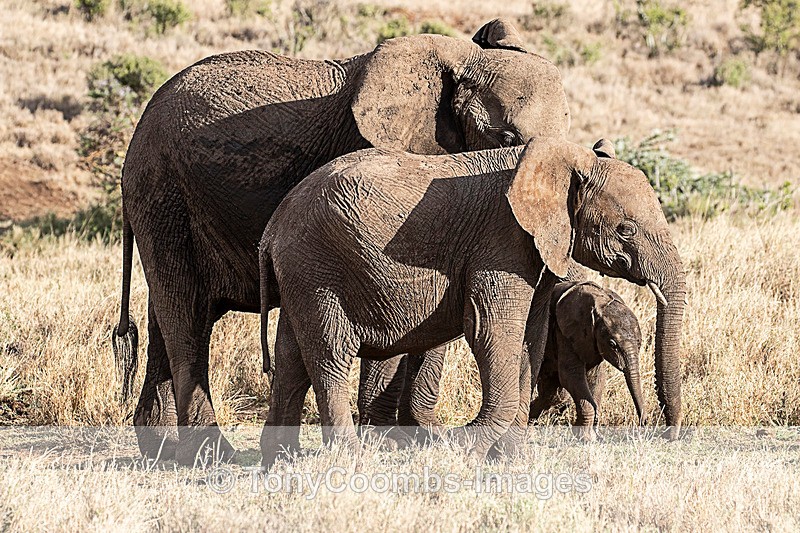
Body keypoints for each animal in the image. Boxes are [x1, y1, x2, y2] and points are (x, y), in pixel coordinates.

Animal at [111, 19, 574, 464]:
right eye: (506, 139)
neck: (463, 57)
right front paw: (390, 442)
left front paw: (419, 438)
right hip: (163, 196)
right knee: (186, 317)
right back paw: (210, 456)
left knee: (166, 318)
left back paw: (161, 450)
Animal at [257, 136, 687, 466]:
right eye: (626, 230)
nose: (662, 433)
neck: (563, 159)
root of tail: (272, 227)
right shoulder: (500, 243)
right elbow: (490, 331)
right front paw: (464, 448)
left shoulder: (536, 254)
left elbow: (531, 340)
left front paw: (512, 461)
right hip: (317, 268)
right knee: (329, 355)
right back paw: (349, 458)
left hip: (302, 273)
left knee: (292, 358)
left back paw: (279, 461)